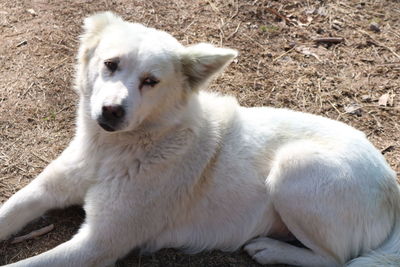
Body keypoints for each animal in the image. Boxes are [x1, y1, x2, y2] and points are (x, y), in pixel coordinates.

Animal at [0, 11, 400, 266]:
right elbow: (10, 210)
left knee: (336, 260)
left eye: (150, 81)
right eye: (110, 64)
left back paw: (272, 251)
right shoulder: (46, 189)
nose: (111, 111)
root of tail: (391, 183)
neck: (110, 152)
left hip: (295, 167)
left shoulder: (98, 243)